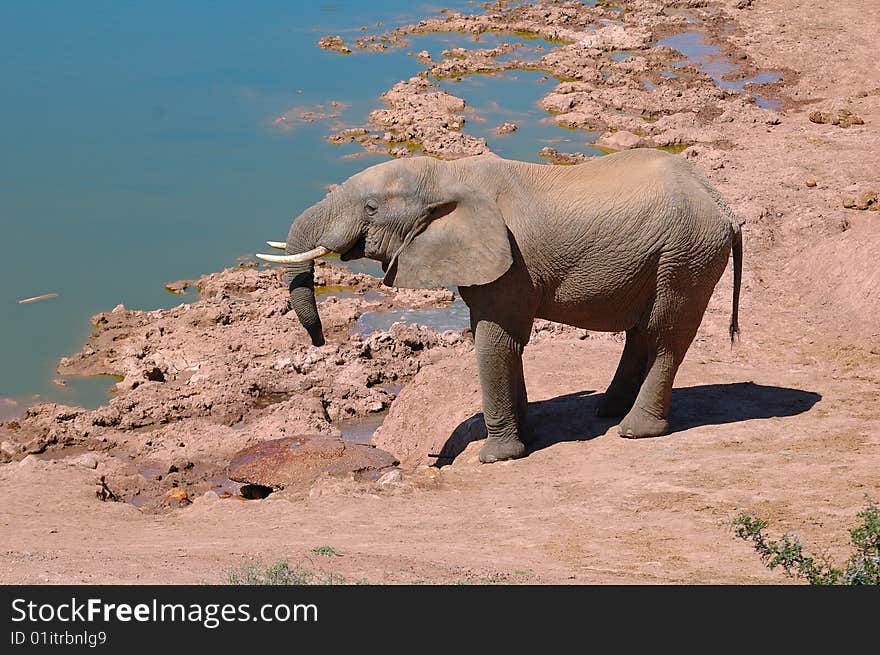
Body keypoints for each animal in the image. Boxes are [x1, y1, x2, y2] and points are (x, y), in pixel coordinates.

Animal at [260, 149, 744, 466]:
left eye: (372, 207)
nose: (319, 341)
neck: (447, 172)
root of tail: (725, 206)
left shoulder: (511, 265)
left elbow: (495, 341)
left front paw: (496, 457)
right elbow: (501, 342)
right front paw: (527, 437)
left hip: (686, 257)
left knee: (665, 336)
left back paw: (634, 429)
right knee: (641, 331)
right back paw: (607, 411)